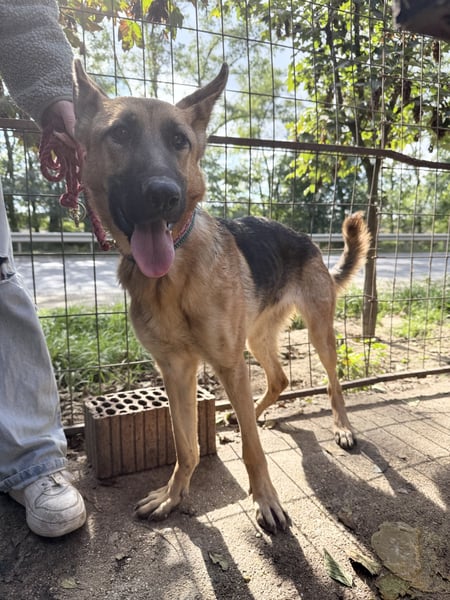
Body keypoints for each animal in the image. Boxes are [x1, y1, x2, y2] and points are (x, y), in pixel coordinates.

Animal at [73, 60, 370, 533]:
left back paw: (341, 427)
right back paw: (254, 411)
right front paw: (173, 495)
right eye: (119, 133)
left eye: (180, 141)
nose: (164, 195)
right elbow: (186, 445)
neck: (173, 275)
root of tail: (307, 240)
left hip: (317, 334)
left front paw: (266, 500)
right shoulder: (176, 371)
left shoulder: (227, 365)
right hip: (256, 337)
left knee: (332, 383)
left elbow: (252, 448)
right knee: (279, 380)